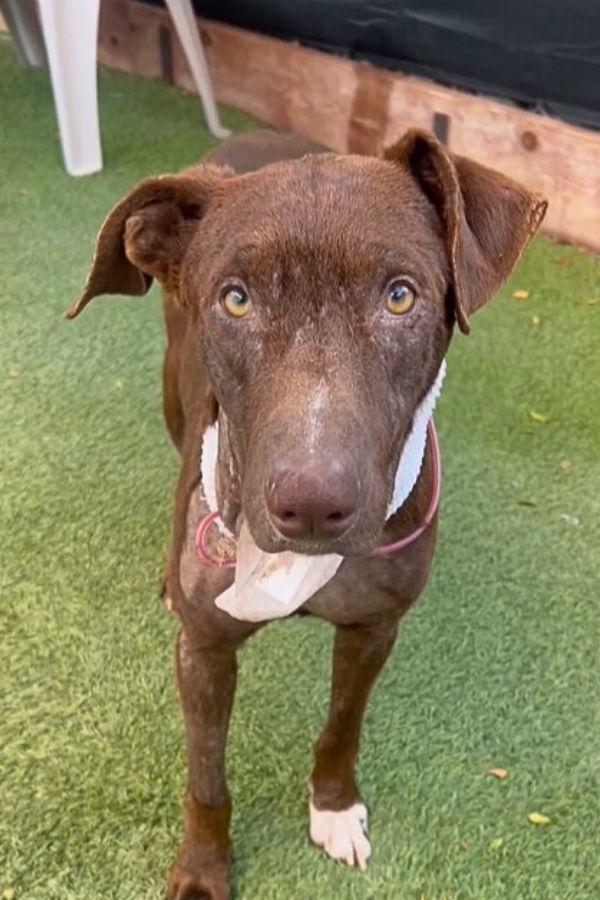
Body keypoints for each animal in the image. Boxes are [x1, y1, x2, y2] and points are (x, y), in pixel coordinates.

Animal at [68, 130, 548, 896]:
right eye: (235, 300)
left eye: (400, 295)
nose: (314, 504)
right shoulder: (203, 651)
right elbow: (207, 779)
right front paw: (203, 868)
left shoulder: (373, 629)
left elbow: (342, 727)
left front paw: (334, 808)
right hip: (172, 398)